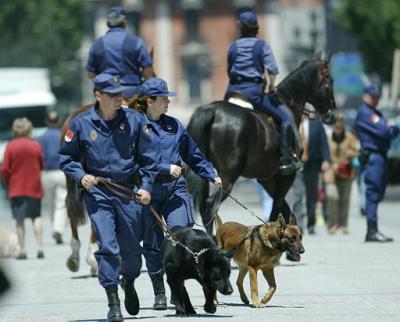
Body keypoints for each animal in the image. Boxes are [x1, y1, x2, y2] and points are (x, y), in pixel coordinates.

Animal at [186, 54, 336, 234]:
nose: (332, 115)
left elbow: (284, 212)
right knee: (210, 207)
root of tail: (212, 110)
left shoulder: (267, 179)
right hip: (227, 177)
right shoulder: (286, 176)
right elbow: (277, 211)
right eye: (330, 81)